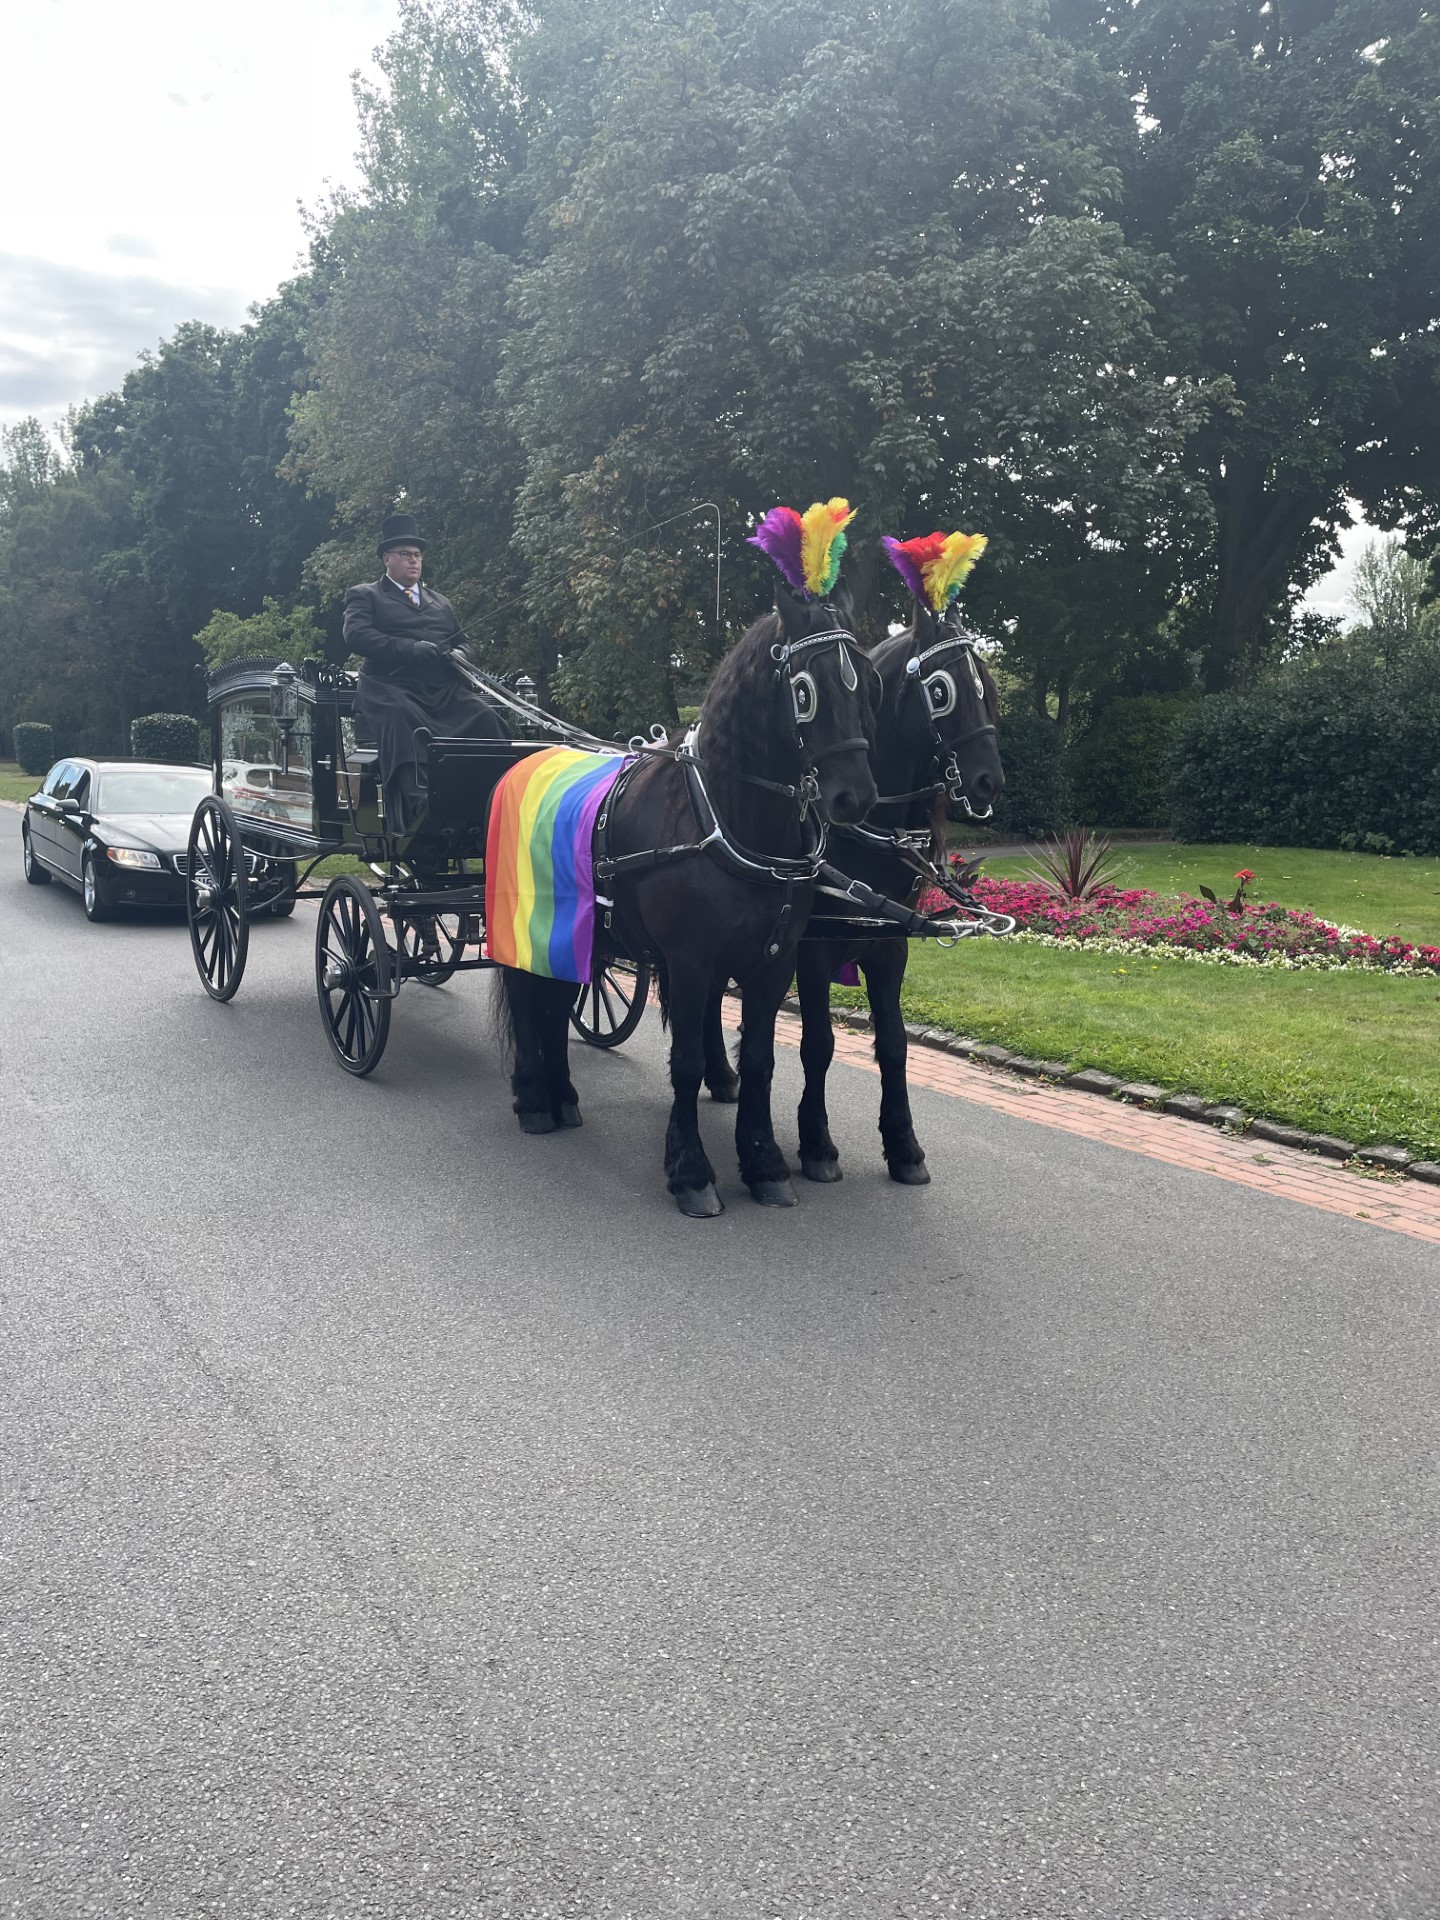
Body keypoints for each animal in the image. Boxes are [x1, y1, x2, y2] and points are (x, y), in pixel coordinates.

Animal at [499, 587, 879, 1213]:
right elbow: (686, 1060)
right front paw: (691, 1171)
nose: (857, 796)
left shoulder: (773, 965)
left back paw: (562, 1096)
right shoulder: (690, 963)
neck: (726, 815)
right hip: (527, 926)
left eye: (866, 682)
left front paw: (764, 1162)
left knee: (555, 1004)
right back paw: (533, 1099)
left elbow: (760, 1059)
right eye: (804, 689)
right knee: (527, 996)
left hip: (574, 935)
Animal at [794, 599, 1006, 1182]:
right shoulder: (811, 952)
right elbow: (818, 1043)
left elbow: (893, 1043)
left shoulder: (890, 947)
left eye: (984, 684)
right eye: (940, 690)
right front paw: (815, 1144)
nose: (990, 781)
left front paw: (904, 1145)